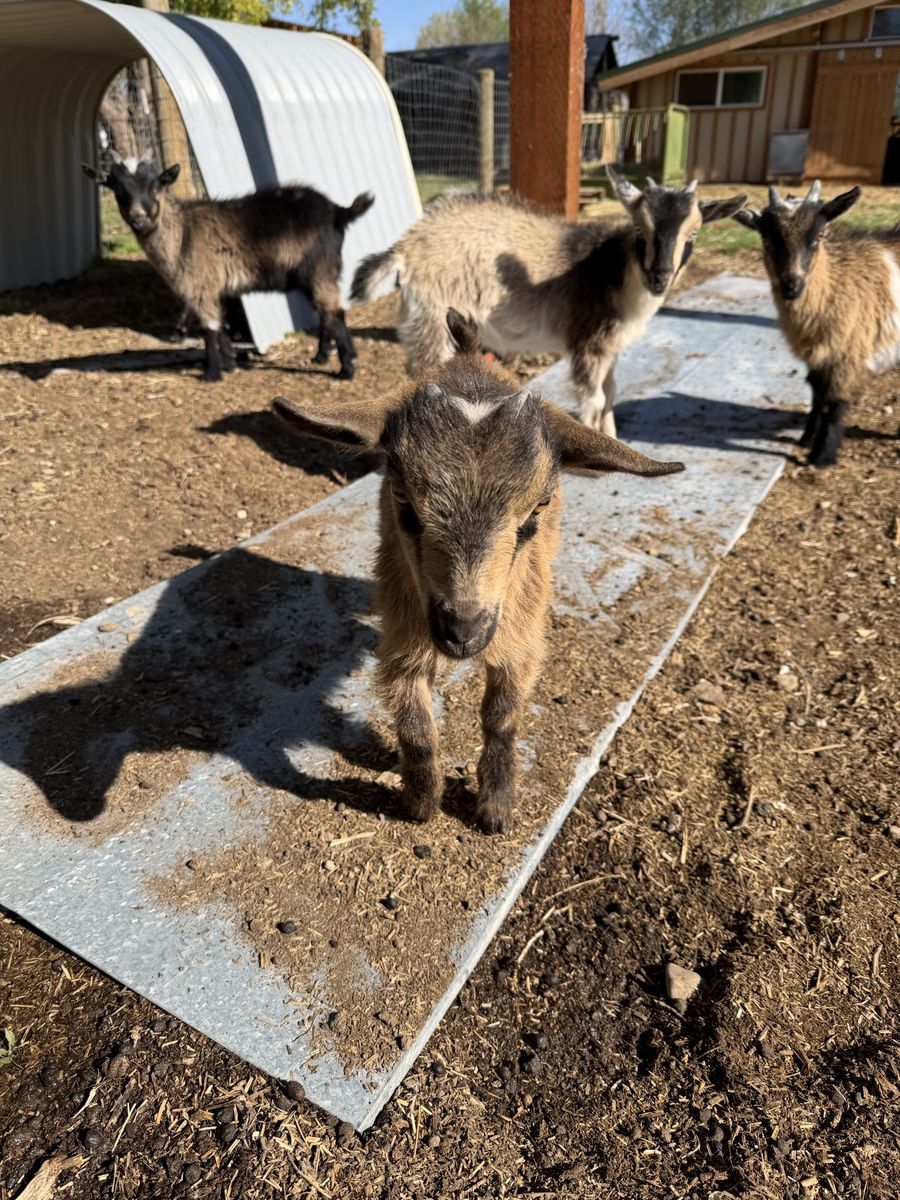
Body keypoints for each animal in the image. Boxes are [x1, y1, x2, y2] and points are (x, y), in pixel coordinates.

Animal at [82, 150, 373, 383]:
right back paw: (323, 356)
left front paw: (211, 374)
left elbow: (209, 328)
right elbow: (221, 325)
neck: (182, 234)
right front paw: (230, 364)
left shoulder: (200, 283)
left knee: (334, 311)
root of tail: (338, 211)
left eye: (156, 187)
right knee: (329, 312)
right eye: (117, 190)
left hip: (318, 268)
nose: (139, 221)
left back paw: (346, 369)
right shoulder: (215, 288)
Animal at [273, 311, 684, 833]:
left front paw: (496, 807)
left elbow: (501, 718)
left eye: (539, 506)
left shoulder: (520, 634)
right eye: (402, 498)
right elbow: (417, 727)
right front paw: (422, 803)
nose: (463, 632)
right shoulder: (404, 636)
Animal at [350, 168, 746, 436]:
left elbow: (611, 393)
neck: (613, 272)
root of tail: (406, 246)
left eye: (693, 233)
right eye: (639, 229)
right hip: (432, 318)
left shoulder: (609, 347)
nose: (660, 279)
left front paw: (614, 437)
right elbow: (593, 400)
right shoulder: (587, 342)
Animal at [732, 180, 888, 468]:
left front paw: (821, 456)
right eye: (767, 240)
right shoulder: (817, 353)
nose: (791, 286)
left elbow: (834, 403)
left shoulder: (848, 351)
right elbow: (816, 394)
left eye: (818, 237)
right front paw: (806, 439)